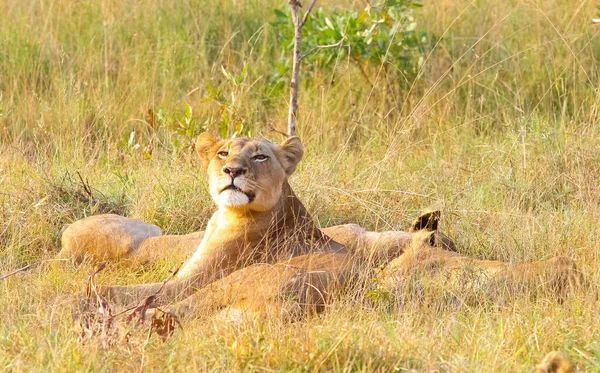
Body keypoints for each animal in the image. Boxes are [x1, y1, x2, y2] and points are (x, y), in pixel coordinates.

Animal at [59, 134, 580, 316]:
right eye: (224, 152)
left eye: (260, 156)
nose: (232, 171)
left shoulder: (197, 276)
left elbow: (136, 291)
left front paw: (84, 298)